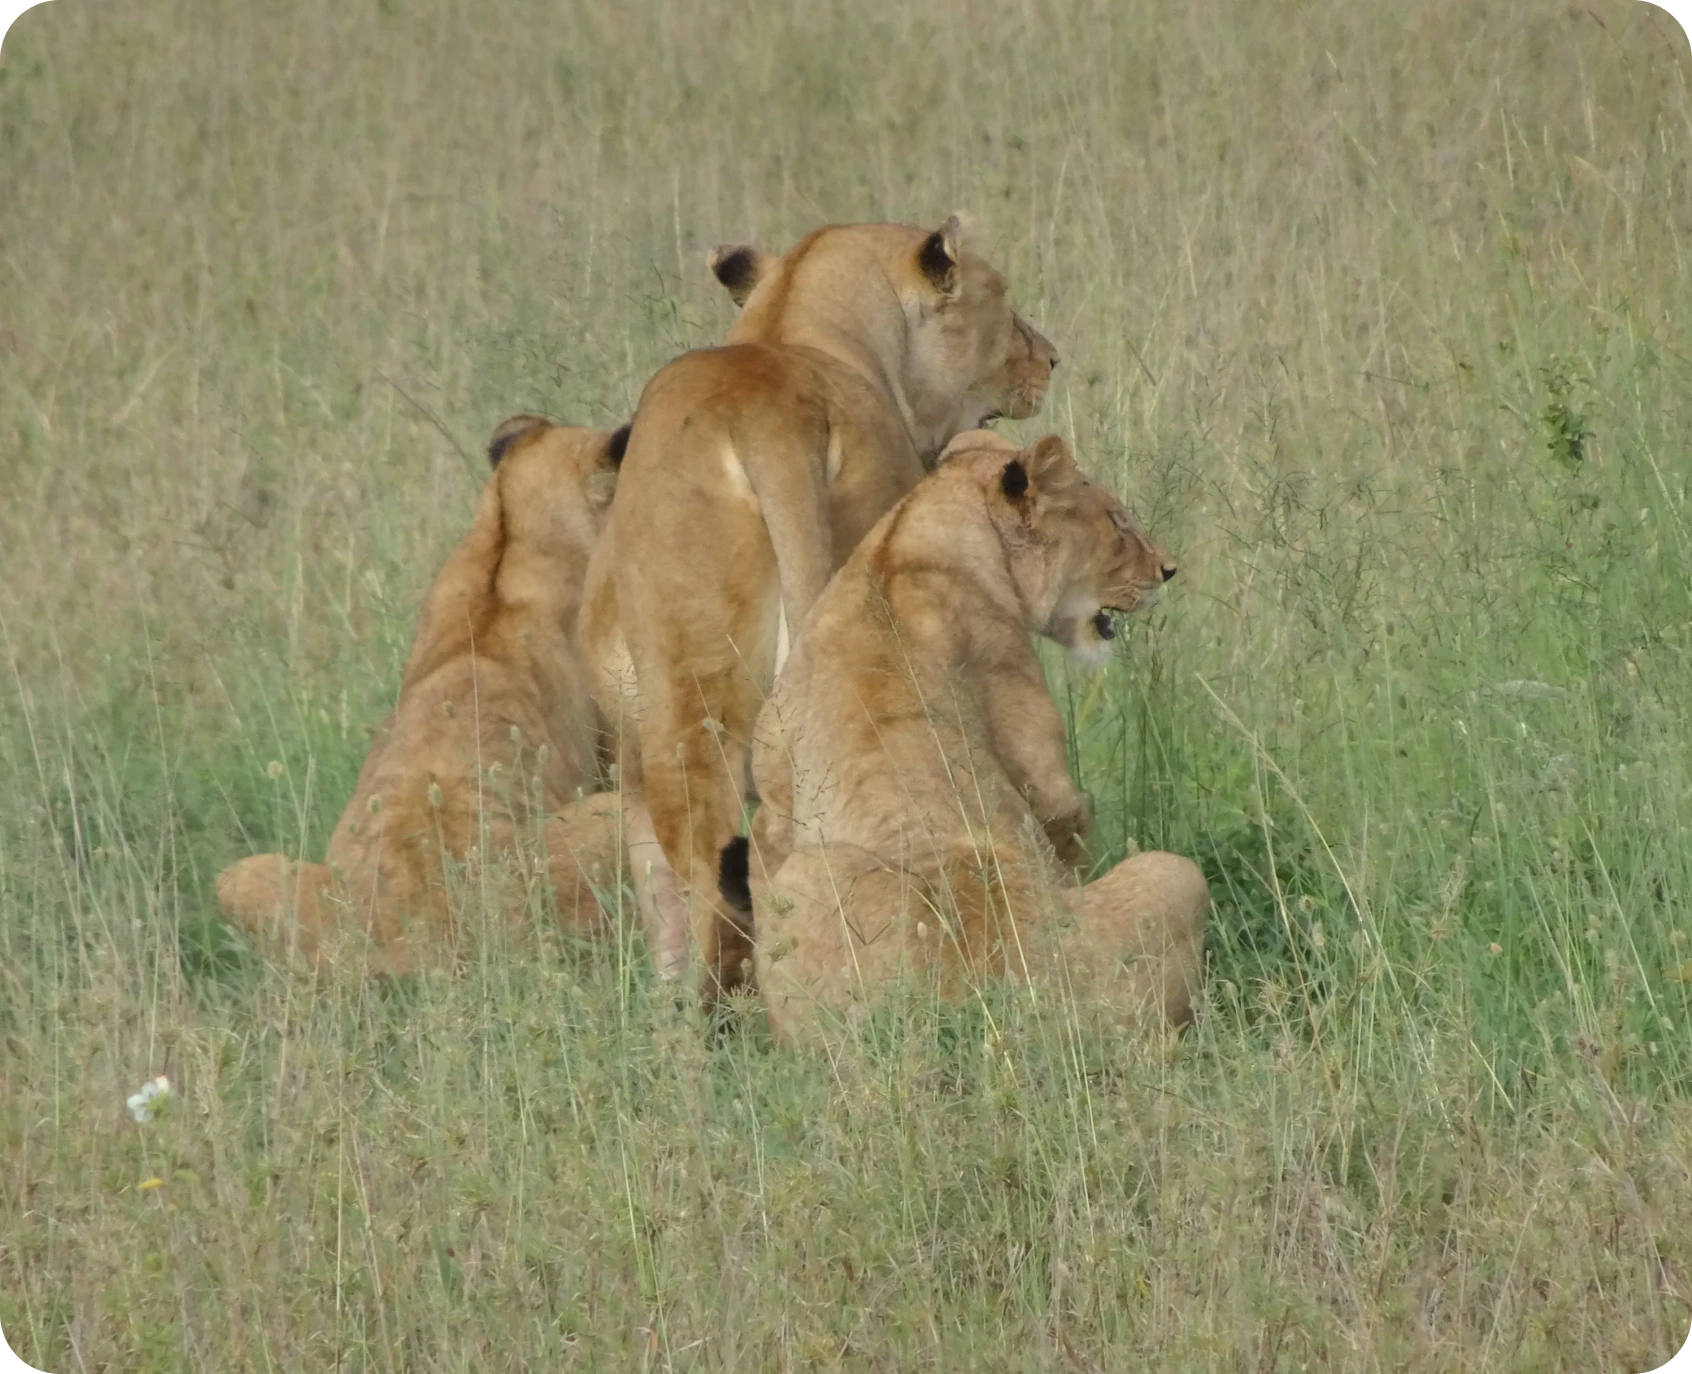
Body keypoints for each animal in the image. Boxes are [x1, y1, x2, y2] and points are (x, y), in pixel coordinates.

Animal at [579, 217, 1059, 1000]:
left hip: (690, 698)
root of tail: (767, 417)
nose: (1051, 357)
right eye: (1000, 296)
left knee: (708, 866)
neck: (793, 315)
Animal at [718, 431, 1209, 1045]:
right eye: (1117, 520)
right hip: (1178, 874)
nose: (1169, 569)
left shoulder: (774, 804)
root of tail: (988, 1005)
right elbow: (1063, 813)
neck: (903, 540)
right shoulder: (1033, 742)